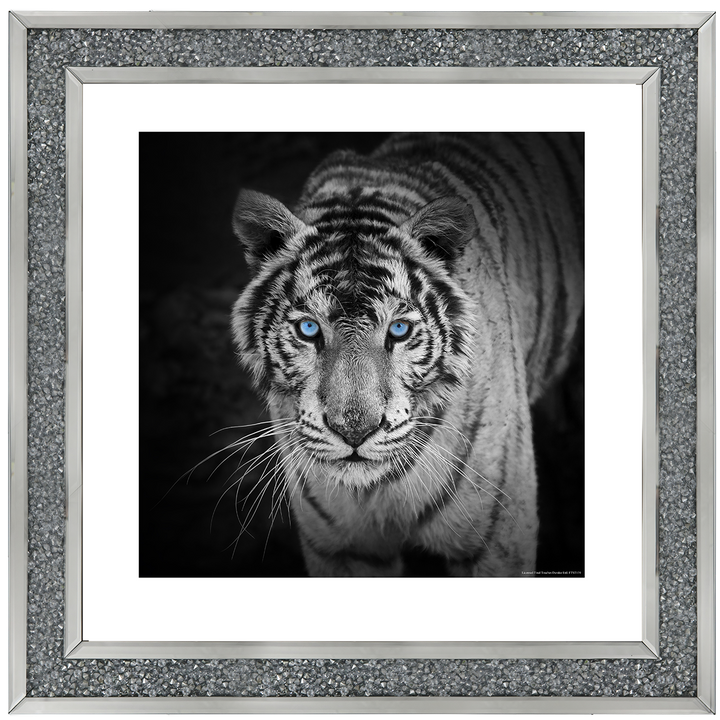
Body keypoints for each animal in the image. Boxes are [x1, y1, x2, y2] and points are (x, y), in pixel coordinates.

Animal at [230, 133, 584, 577]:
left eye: (398, 330)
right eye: (309, 329)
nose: (354, 432)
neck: (376, 491)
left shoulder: (496, 540)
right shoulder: (342, 548)